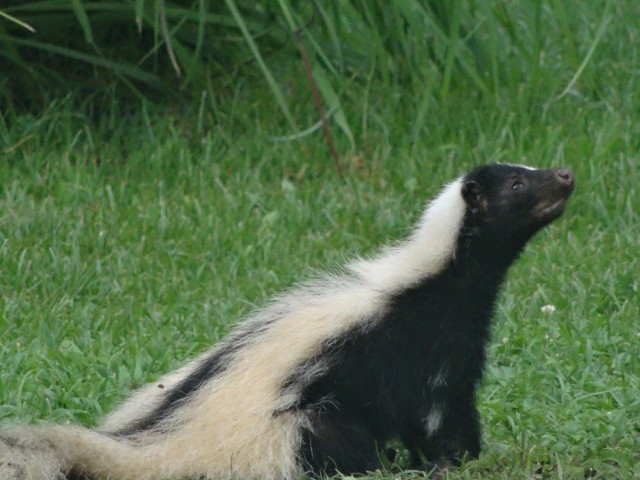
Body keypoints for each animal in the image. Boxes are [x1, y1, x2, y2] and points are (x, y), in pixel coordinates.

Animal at [0, 163, 572, 478]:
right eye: (518, 184)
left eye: (528, 170)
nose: (565, 176)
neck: (436, 272)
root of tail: (159, 445)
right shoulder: (428, 345)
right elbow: (441, 413)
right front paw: (459, 460)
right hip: (288, 430)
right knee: (332, 442)